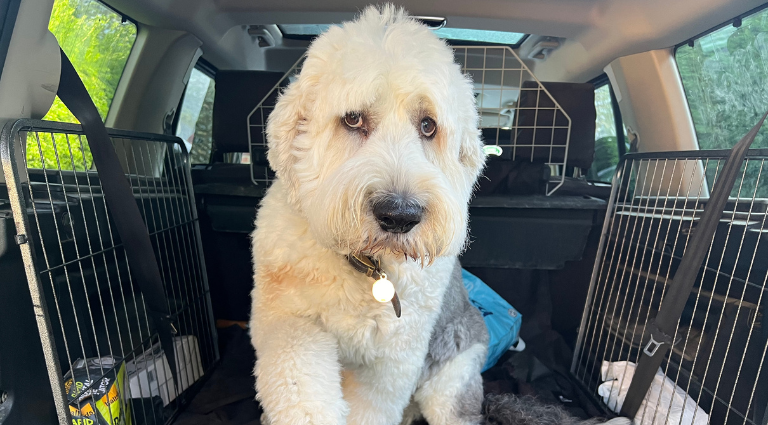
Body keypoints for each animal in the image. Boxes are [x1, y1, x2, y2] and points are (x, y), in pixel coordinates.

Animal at [250, 5, 629, 425]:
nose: (399, 214)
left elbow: (371, 404)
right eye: (352, 119)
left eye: (428, 126)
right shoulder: (289, 321)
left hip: (451, 382)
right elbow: (299, 383)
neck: (368, 267)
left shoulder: (391, 358)